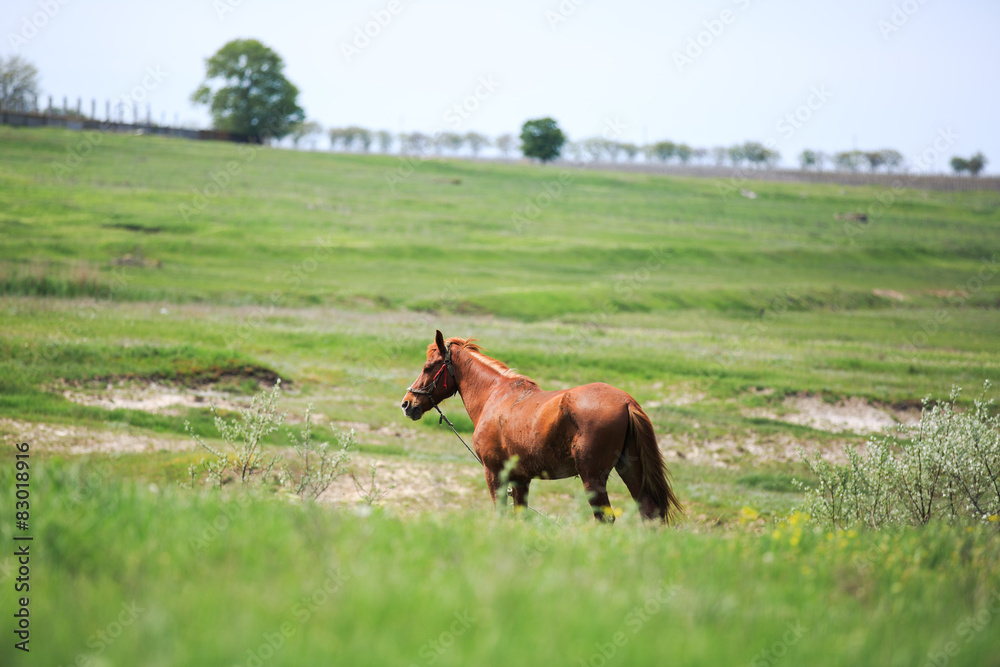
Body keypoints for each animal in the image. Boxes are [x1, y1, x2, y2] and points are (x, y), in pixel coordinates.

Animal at [400, 331, 682, 523]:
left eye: (428, 367)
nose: (407, 403)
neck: (494, 395)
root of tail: (626, 401)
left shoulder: (494, 474)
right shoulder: (521, 480)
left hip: (593, 477)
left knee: (606, 518)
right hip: (630, 469)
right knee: (649, 512)